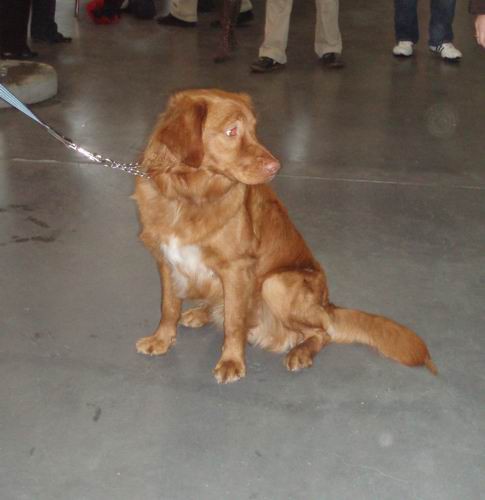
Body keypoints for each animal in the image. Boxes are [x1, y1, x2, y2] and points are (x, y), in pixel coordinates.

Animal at [132, 89, 434, 382]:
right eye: (232, 131)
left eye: (254, 129)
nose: (275, 167)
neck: (187, 196)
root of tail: (327, 304)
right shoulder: (166, 260)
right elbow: (169, 307)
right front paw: (162, 339)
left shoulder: (236, 267)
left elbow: (234, 322)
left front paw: (232, 361)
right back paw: (200, 313)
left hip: (276, 283)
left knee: (322, 331)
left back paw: (301, 353)